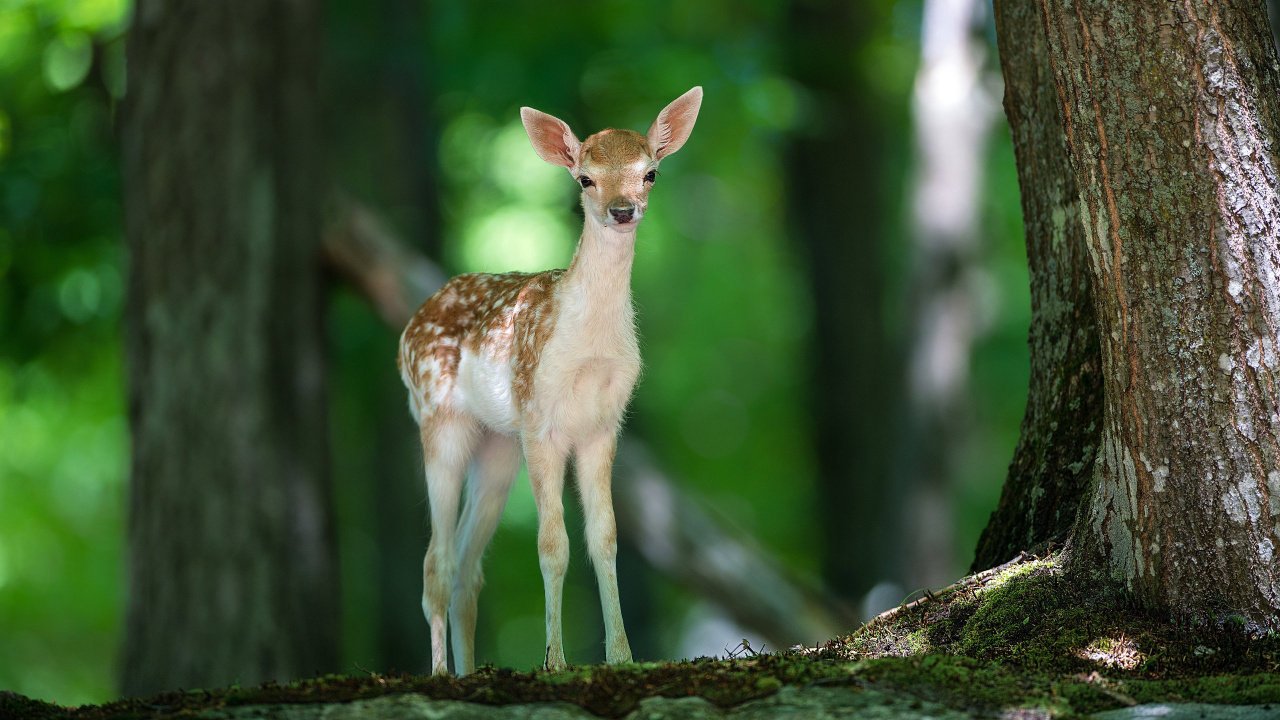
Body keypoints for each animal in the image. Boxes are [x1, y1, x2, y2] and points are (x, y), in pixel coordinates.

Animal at [398, 87, 702, 675]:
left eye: (650, 172)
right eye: (584, 178)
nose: (622, 209)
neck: (588, 348)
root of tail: (408, 327)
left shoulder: (604, 425)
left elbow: (604, 539)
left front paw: (622, 656)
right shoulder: (541, 421)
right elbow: (552, 544)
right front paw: (555, 661)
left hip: (498, 444)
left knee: (467, 566)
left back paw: (469, 670)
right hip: (440, 418)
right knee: (434, 561)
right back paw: (442, 673)